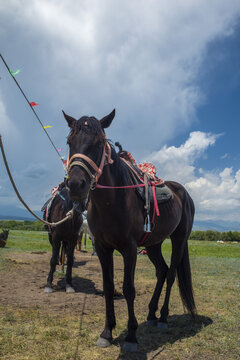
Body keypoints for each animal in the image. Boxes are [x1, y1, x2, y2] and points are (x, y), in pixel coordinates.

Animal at [62, 109, 196, 352]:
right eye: (70, 142)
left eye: (98, 142)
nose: (76, 185)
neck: (113, 200)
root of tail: (183, 193)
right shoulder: (103, 248)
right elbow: (108, 287)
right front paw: (107, 332)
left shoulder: (130, 249)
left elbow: (128, 289)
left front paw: (132, 336)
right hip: (153, 244)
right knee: (162, 271)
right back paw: (151, 314)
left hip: (179, 239)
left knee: (171, 274)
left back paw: (163, 317)